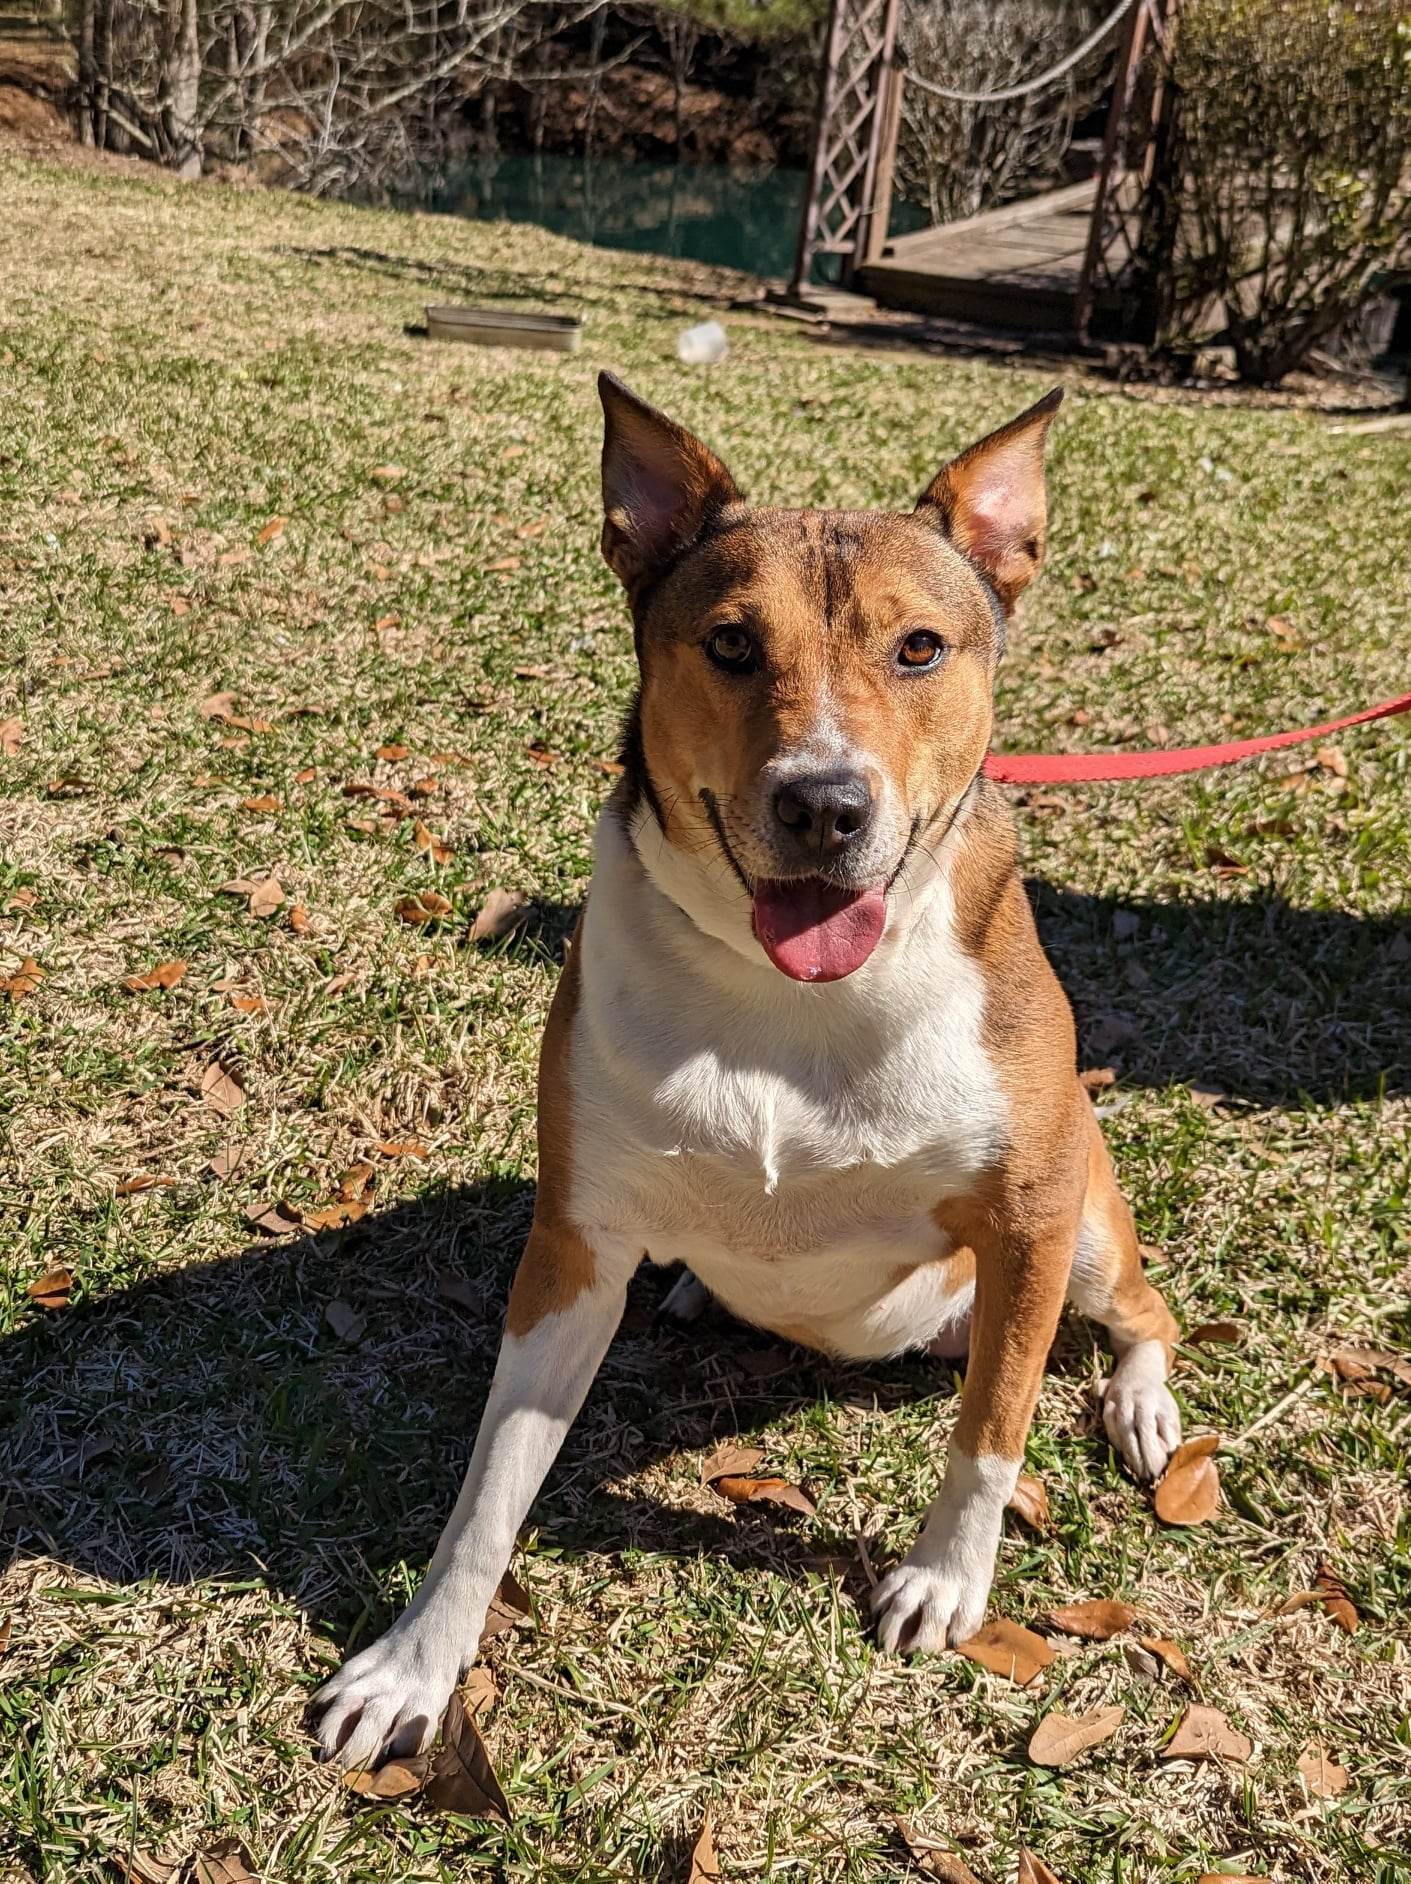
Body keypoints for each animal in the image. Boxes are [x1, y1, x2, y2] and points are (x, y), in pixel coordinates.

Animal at [316, 378, 1175, 1763]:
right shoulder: (575, 1247)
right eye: (727, 643)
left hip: (1085, 1227)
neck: (796, 1000)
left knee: (1143, 1314)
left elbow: (990, 1430)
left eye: (920, 648)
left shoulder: (1029, 1217)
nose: (823, 805)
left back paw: (1143, 1408)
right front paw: (414, 1664)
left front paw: (944, 1580)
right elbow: (490, 1489)